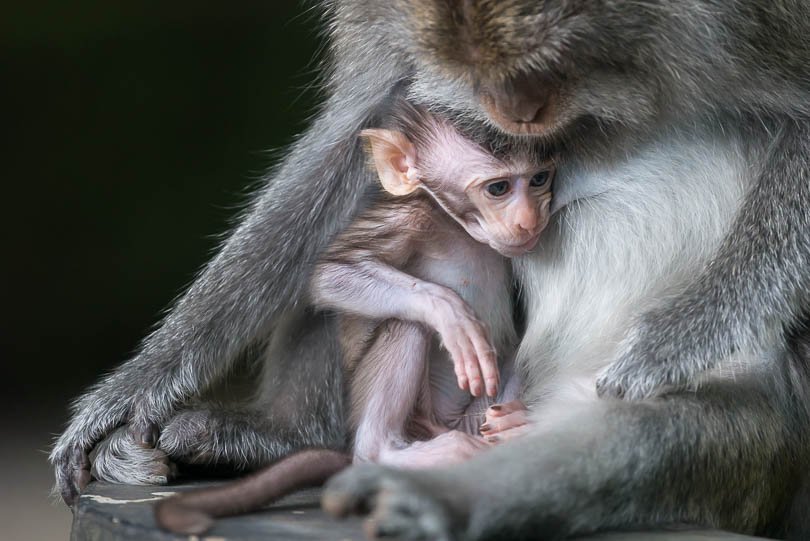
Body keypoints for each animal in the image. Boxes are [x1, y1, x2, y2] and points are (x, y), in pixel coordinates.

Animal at [155, 102, 552, 536]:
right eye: (498, 188)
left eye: (539, 179)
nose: (529, 220)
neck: (457, 229)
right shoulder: (409, 216)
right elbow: (330, 275)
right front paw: (447, 310)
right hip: (412, 417)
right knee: (408, 326)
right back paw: (383, 453)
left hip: (479, 417)